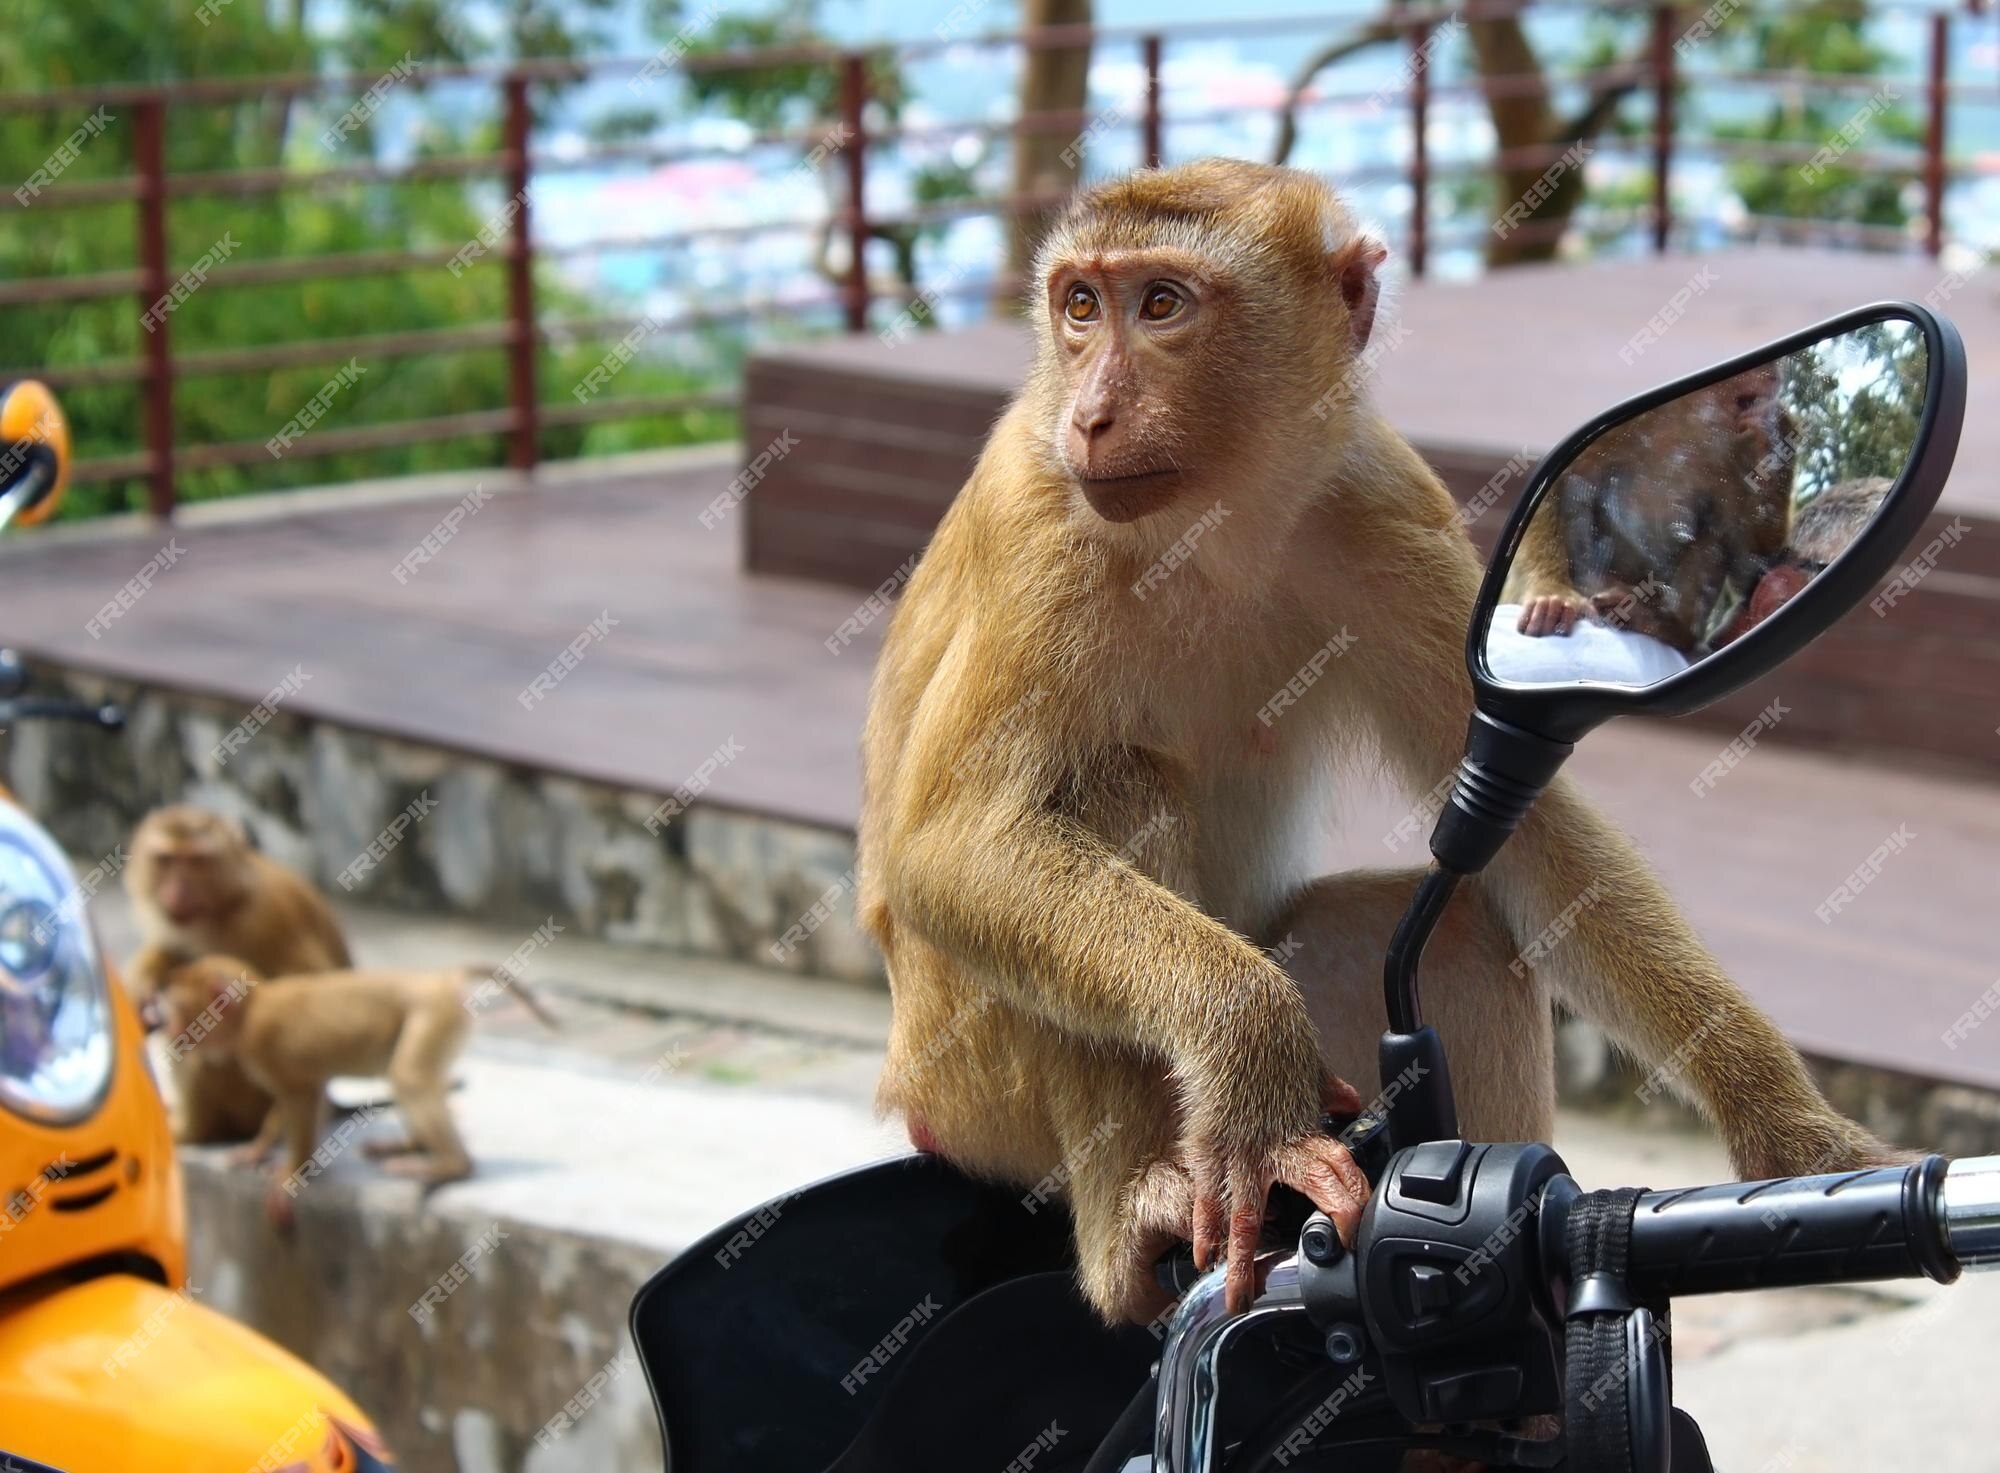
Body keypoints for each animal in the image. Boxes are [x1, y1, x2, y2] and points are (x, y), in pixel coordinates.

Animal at [121, 804, 350, 1136]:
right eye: (166, 859)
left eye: (197, 861)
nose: (179, 890)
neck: (222, 907)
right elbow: (171, 956)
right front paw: (142, 983)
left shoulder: (265, 917)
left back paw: (194, 1129)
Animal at [153, 956, 560, 1232]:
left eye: (177, 1009)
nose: (171, 1030)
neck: (250, 1012)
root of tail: (440, 980)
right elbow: (299, 1098)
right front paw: (258, 1149)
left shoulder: (265, 1046)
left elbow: (303, 1095)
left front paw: (288, 1177)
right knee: (405, 1077)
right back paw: (412, 1147)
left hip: (433, 1016)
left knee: (408, 1076)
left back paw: (450, 1164)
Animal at [1504, 360, 1808, 652]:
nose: (1775, 375)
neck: (1690, 424)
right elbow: (1562, 484)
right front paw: (1550, 591)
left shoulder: (1773, 432)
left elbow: (1752, 569)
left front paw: (1765, 449)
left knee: (1712, 537)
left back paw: (1668, 627)